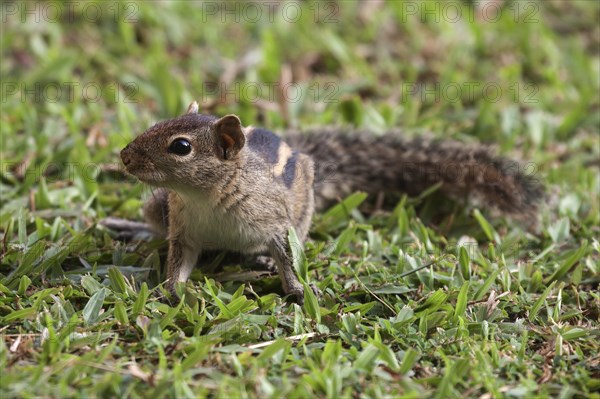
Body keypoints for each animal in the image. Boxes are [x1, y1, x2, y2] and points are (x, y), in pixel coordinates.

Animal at [105, 101, 548, 304]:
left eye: (181, 147)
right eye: (158, 123)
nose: (125, 156)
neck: (205, 197)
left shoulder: (274, 221)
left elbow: (287, 253)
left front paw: (297, 289)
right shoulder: (184, 229)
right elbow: (178, 262)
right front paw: (170, 292)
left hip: (304, 205)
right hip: (158, 205)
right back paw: (131, 228)